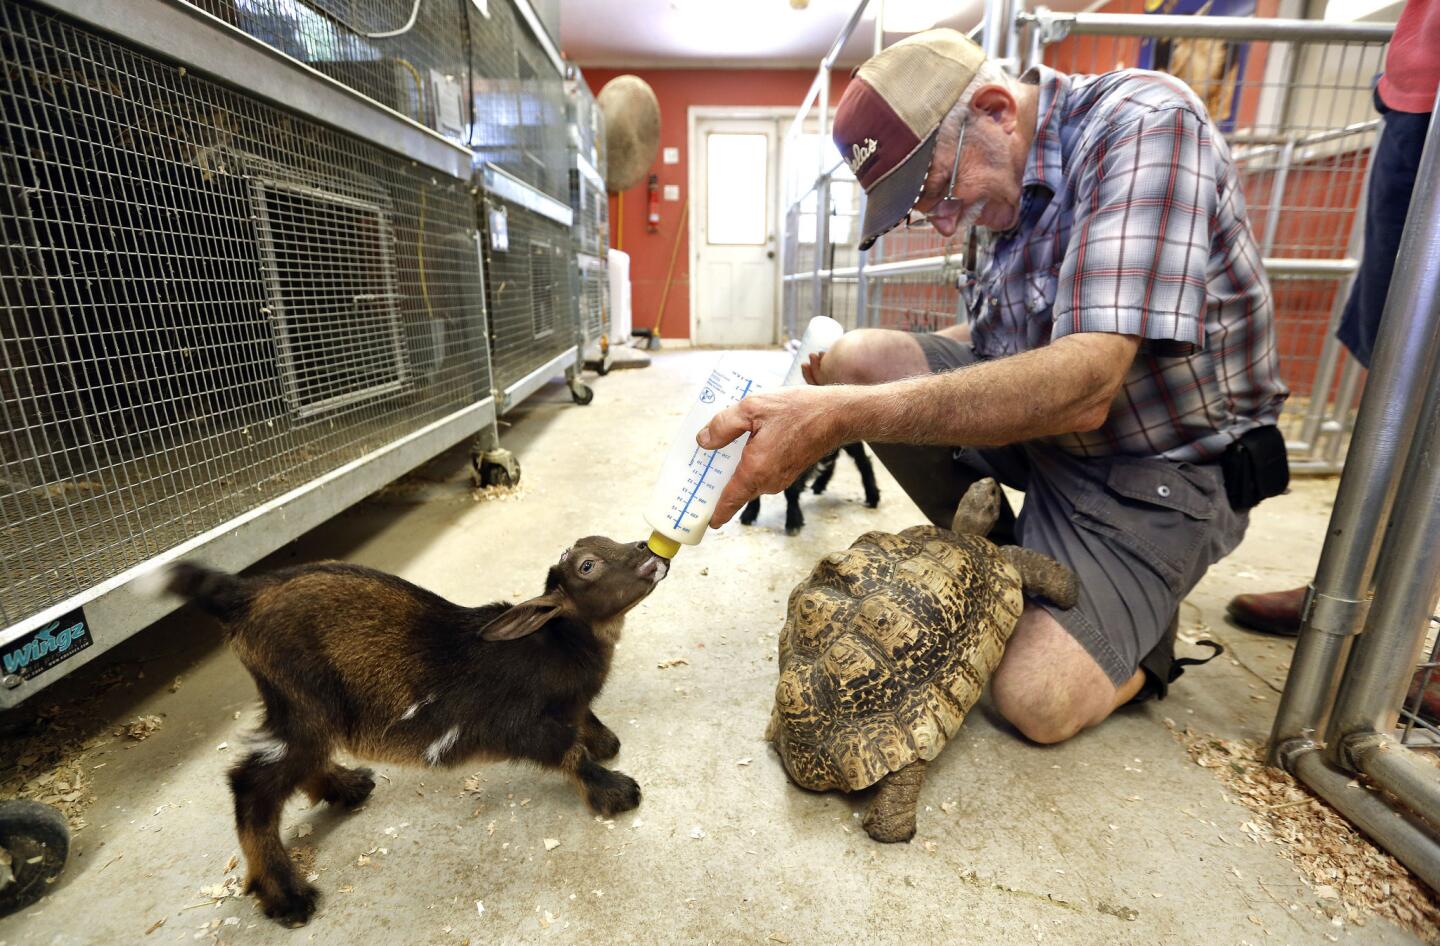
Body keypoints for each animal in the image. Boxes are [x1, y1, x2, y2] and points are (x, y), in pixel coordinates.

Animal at [140, 535, 668, 927]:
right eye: (587, 566)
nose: (650, 549)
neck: (558, 643)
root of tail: (240, 596)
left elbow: (584, 723)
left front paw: (605, 742)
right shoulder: (523, 724)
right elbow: (568, 752)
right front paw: (615, 791)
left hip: (302, 709)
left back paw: (348, 787)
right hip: (303, 700)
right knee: (252, 785)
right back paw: (288, 897)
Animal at [737, 440, 881, 535]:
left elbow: (791, 491)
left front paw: (793, 522)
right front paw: (749, 514)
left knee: (864, 462)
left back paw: (872, 496)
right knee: (832, 460)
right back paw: (820, 484)